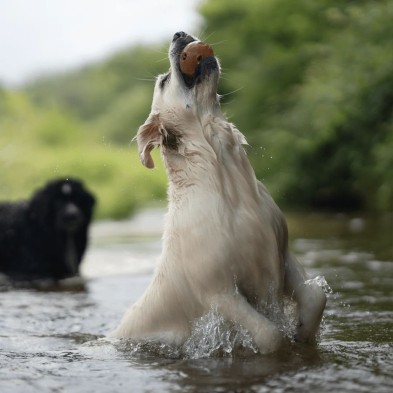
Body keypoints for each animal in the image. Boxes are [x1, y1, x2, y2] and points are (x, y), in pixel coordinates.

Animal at [110, 32, 324, 354]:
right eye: (163, 82)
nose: (180, 34)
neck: (226, 180)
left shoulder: (282, 251)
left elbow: (315, 296)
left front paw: (303, 332)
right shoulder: (218, 290)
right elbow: (270, 335)